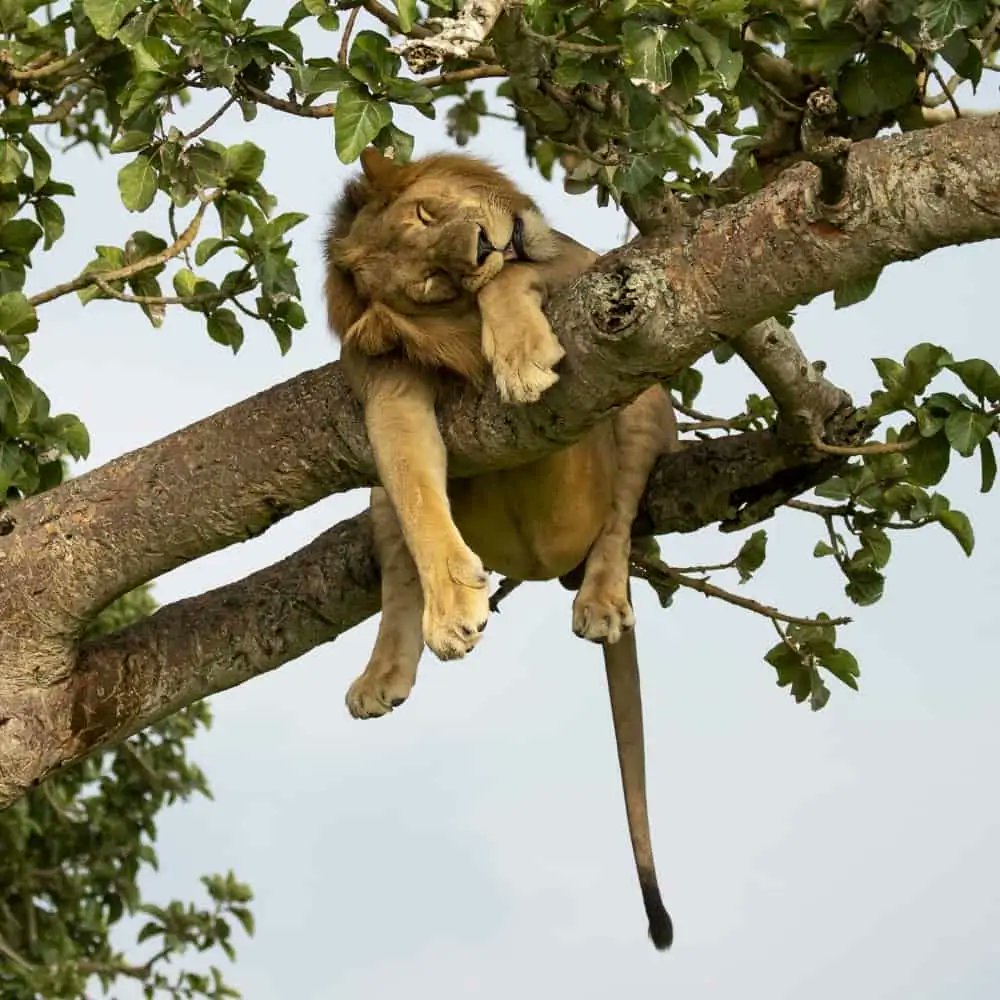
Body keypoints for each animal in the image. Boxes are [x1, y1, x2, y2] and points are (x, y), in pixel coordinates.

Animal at [324, 145, 676, 948]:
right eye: (428, 278)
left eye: (427, 211)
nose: (483, 245)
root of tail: (546, 567)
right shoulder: (388, 391)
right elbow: (417, 494)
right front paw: (455, 606)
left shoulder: (590, 274)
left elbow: (515, 284)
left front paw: (518, 355)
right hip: (383, 497)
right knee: (397, 551)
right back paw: (385, 673)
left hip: (643, 401)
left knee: (620, 518)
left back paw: (601, 599)